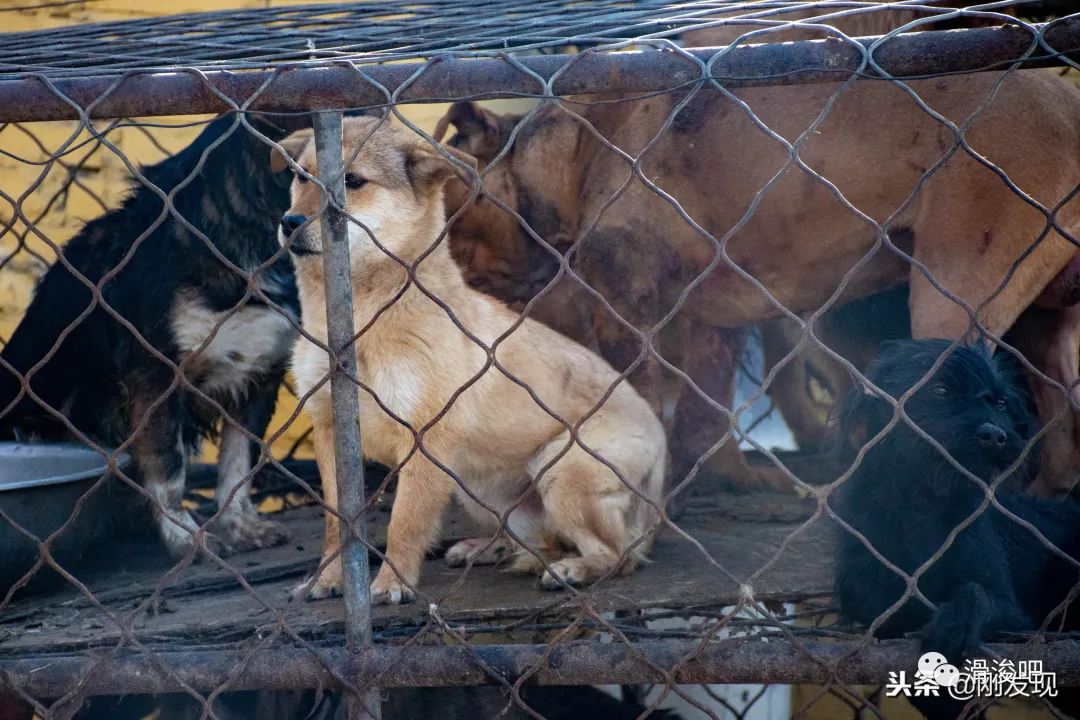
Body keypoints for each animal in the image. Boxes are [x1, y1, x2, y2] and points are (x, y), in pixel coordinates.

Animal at [3, 115, 304, 561]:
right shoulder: (156, 376)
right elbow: (168, 468)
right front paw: (186, 539)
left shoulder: (259, 378)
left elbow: (238, 466)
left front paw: (241, 527)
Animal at [270, 117, 665, 604]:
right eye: (300, 177)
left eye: (353, 182)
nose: (289, 222)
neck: (360, 321)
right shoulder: (329, 431)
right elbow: (335, 524)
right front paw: (327, 579)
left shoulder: (424, 438)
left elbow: (405, 521)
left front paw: (393, 584)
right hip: (480, 487)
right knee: (543, 543)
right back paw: (490, 549)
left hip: (563, 470)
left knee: (617, 555)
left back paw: (574, 569)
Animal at [438, 69, 1080, 496]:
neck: (567, 155)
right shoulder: (707, 324)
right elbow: (703, 414)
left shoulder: (627, 318)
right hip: (1039, 320)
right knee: (1056, 413)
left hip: (949, 300)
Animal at [833, 341, 1080, 660]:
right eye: (940, 391)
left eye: (1000, 403)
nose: (994, 435)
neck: (925, 497)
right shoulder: (868, 598)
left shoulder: (1013, 612)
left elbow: (978, 591)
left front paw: (960, 620)